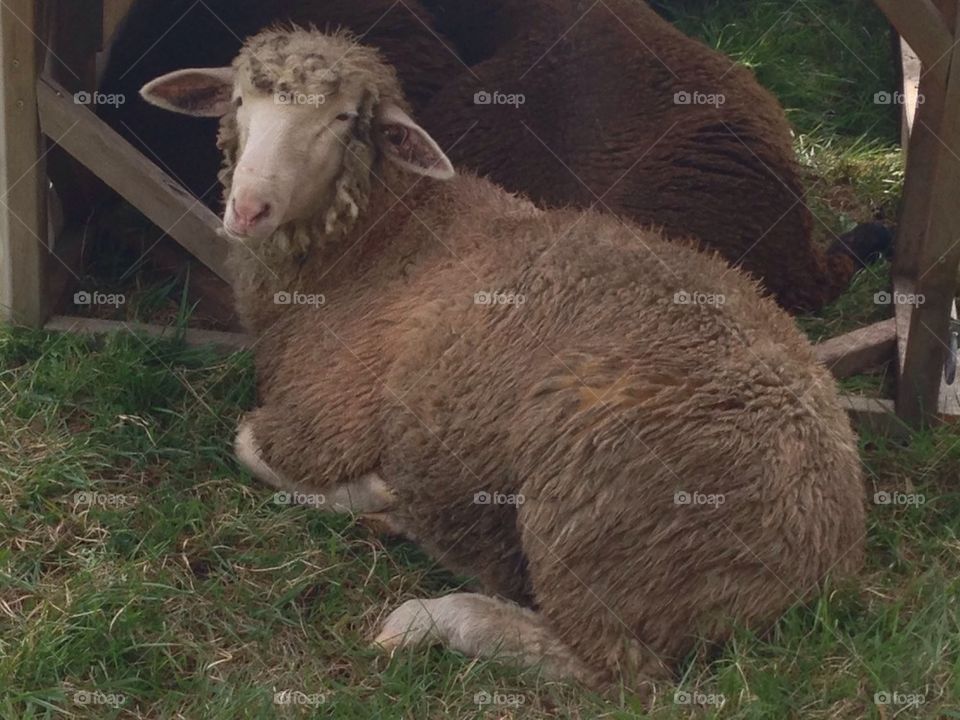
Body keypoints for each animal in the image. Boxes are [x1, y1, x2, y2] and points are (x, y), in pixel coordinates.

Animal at [140, 27, 866, 690]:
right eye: (240, 99)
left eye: (345, 117)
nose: (248, 209)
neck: (383, 241)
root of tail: (824, 543)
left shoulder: (332, 416)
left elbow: (248, 444)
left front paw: (374, 494)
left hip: (593, 507)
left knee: (614, 669)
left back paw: (431, 614)